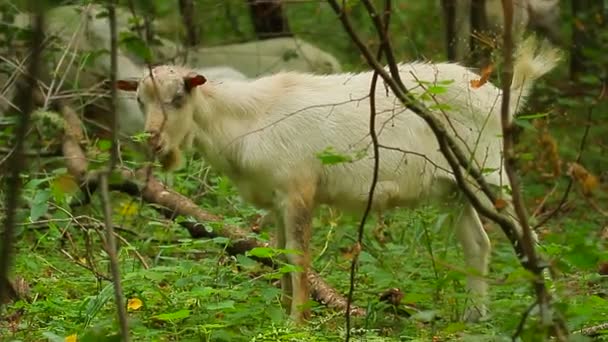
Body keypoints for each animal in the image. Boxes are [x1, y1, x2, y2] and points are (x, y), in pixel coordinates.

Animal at [116, 37, 564, 324]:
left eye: (178, 98)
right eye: (139, 99)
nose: (153, 142)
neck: (248, 119)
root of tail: (499, 97)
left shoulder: (298, 191)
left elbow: (299, 260)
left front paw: (296, 323)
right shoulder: (277, 200)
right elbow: (280, 257)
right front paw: (283, 315)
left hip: (489, 173)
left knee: (528, 238)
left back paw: (548, 312)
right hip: (454, 188)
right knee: (478, 245)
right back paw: (475, 317)